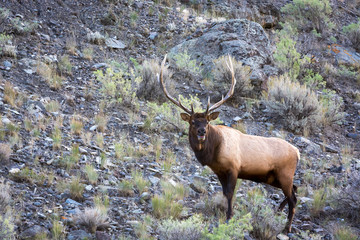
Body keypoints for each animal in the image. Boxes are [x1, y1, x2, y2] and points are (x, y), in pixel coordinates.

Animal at [158, 54, 298, 232]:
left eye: (207, 122)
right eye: (192, 122)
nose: (202, 132)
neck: (213, 152)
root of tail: (297, 152)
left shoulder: (234, 168)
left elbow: (231, 193)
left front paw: (229, 217)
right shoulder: (219, 171)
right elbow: (225, 193)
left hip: (285, 173)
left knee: (293, 197)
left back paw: (287, 227)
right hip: (274, 177)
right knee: (295, 190)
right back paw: (279, 211)